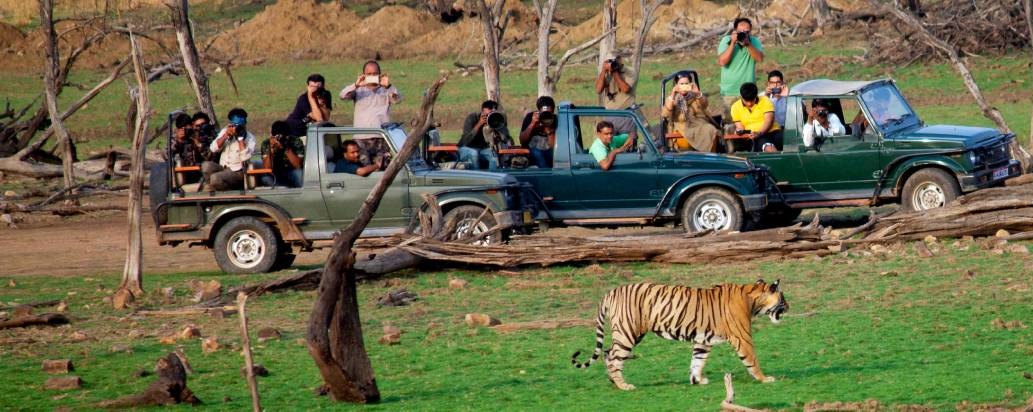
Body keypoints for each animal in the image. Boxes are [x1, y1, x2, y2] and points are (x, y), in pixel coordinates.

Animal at [570, 278, 785, 392]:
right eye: (783, 299)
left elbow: (697, 361)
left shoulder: (703, 340)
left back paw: (613, 381)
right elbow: (753, 360)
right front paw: (765, 379)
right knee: (614, 356)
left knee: (608, 353)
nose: (789, 306)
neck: (752, 299)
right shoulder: (743, 338)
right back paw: (623, 385)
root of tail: (612, 291)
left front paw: (697, 380)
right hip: (627, 332)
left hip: (631, 333)